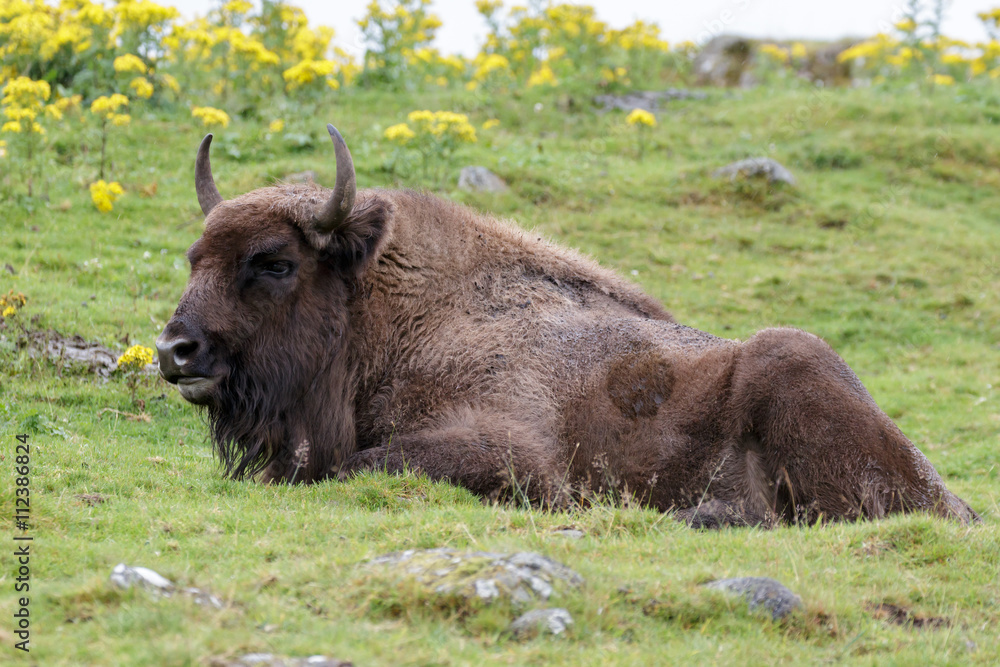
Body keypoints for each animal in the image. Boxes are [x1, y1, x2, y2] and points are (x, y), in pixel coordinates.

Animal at [156, 125, 978, 527]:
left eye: (274, 261)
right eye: (195, 256)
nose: (175, 349)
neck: (399, 317)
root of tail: (950, 495)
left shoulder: (510, 449)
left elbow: (358, 466)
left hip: (791, 359)